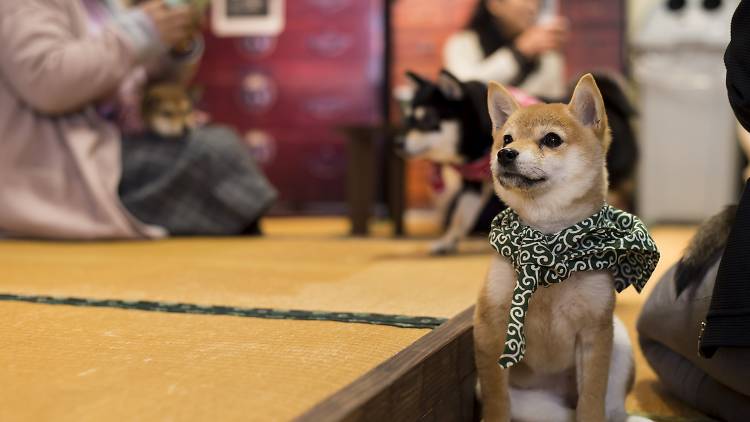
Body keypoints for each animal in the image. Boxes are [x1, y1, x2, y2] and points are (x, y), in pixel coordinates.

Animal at [476, 74, 652, 420]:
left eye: (552, 140)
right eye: (506, 139)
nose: (506, 154)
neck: (549, 242)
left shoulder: (595, 334)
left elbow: (592, 400)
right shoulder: (490, 330)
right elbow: (496, 400)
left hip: (620, 346)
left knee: (612, 410)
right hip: (531, 403)